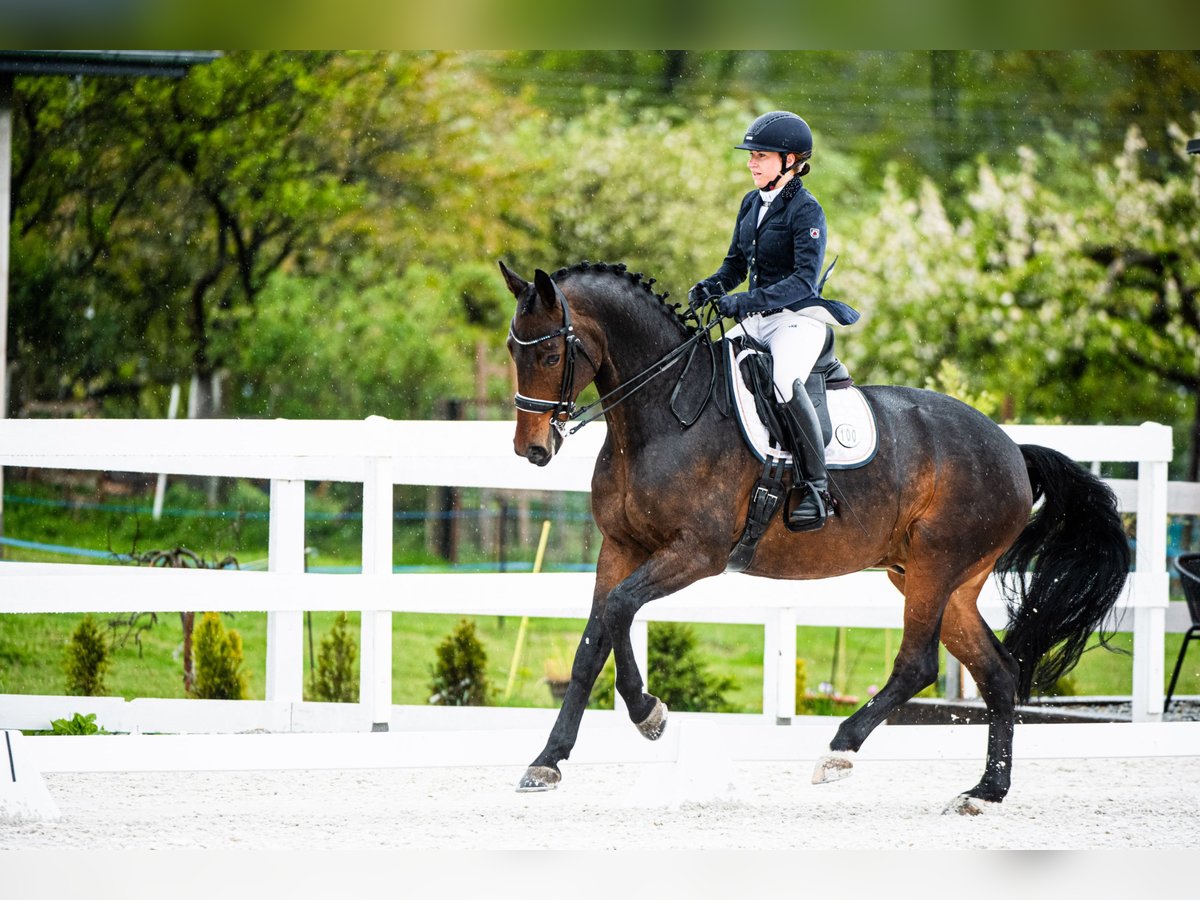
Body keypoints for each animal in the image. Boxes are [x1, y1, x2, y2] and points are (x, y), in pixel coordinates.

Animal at [494, 256, 1123, 816]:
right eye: (511, 349)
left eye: (551, 352)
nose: (532, 450)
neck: (664, 412)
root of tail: (1012, 450)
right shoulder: (621, 548)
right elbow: (593, 642)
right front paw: (550, 760)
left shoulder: (695, 552)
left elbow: (621, 610)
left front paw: (647, 713)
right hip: (943, 582)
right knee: (997, 672)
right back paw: (985, 792)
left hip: (934, 567)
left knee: (917, 664)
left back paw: (839, 751)